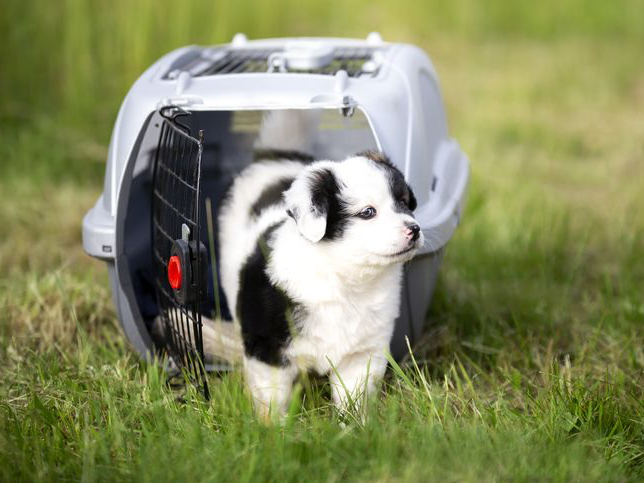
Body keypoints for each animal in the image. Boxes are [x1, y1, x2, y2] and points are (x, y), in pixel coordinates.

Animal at [214, 110, 422, 420]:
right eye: (368, 212)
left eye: (405, 203)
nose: (415, 230)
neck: (343, 276)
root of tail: (276, 156)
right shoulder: (267, 348)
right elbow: (272, 397)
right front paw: (273, 427)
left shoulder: (362, 353)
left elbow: (353, 396)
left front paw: (354, 424)